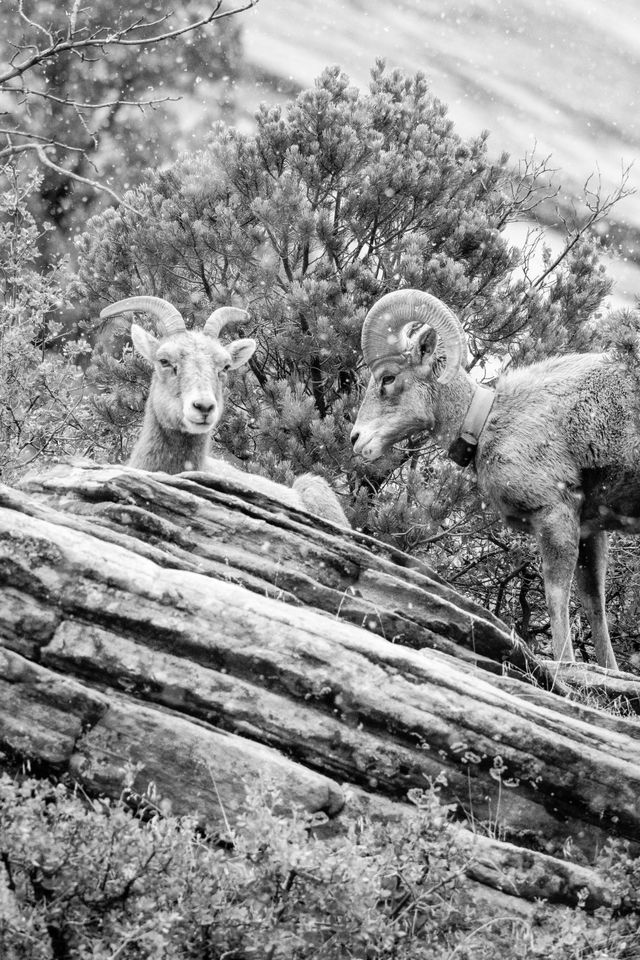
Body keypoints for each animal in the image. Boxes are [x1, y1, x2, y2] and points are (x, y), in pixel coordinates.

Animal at [350, 288, 640, 672]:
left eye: (388, 378)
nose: (356, 439)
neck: (487, 421)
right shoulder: (591, 528)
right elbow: (595, 602)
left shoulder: (555, 513)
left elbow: (556, 594)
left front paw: (566, 665)